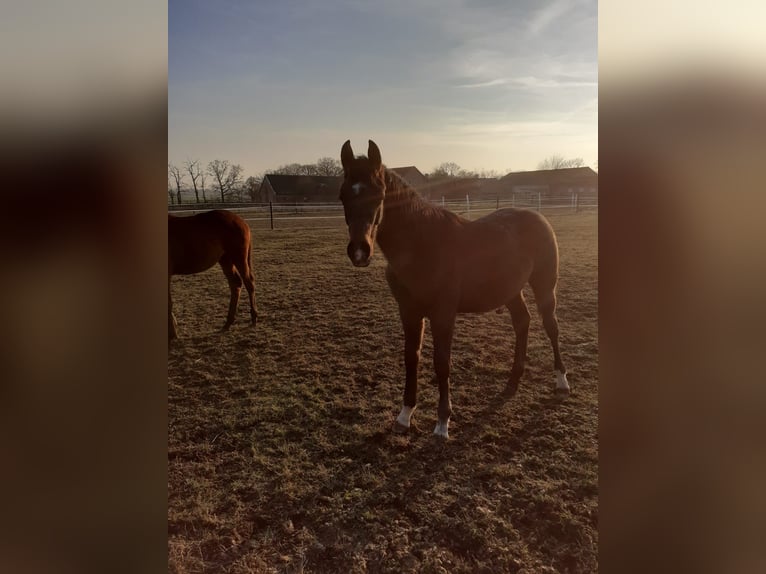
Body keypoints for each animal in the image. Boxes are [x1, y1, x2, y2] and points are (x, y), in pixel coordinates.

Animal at [168, 210, 258, 340]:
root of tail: (241, 221)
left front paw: (173, 335)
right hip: (225, 259)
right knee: (236, 283)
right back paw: (228, 323)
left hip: (238, 258)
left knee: (249, 283)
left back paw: (253, 318)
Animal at [340, 142, 568, 438]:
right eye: (343, 195)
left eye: (378, 194)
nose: (359, 251)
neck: (422, 245)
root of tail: (537, 215)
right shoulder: (409, 311)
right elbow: (411, 357)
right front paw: (404, 416)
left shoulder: (443, 313)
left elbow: (442, 362)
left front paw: (442, 423)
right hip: (510, 290)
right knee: (522, 322)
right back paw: (512, 382)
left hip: (544, 284)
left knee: (551, 326)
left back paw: (561, 381)